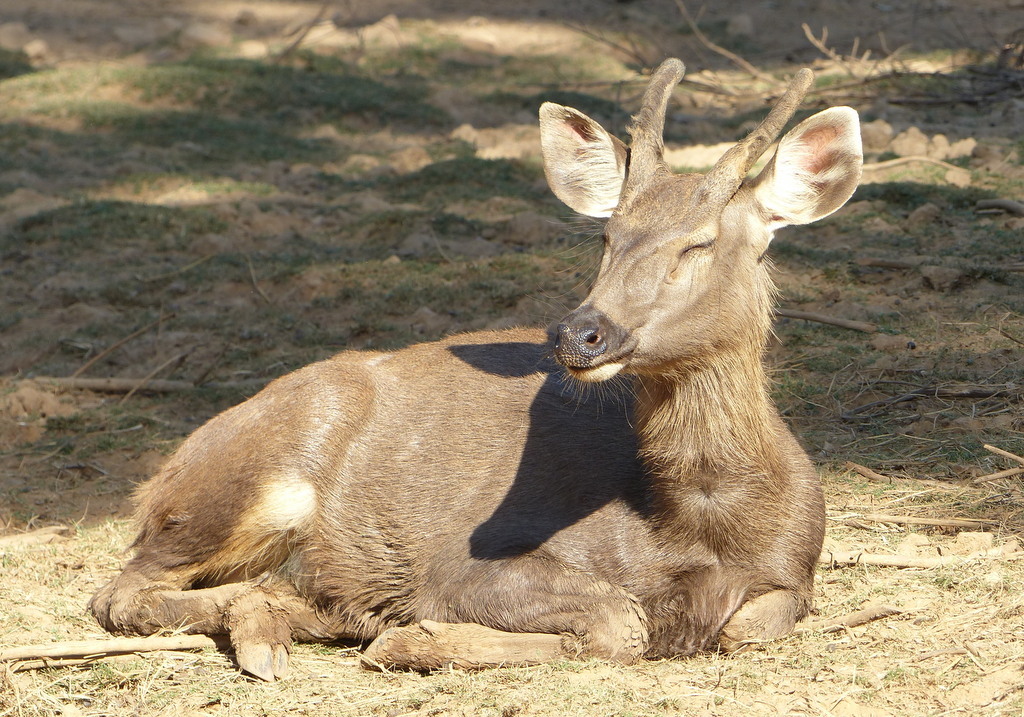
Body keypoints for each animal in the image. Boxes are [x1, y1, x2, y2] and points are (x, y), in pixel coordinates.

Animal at [88, 58, 860, 680]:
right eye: (607, 235)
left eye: (699, 243)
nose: (579, 333)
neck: (698, 529)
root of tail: (163, 474)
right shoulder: (468, 560)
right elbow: (621, 622)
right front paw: (415, 638)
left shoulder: (791, 577)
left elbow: (743, 625)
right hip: (243, 484)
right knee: (122, 591)